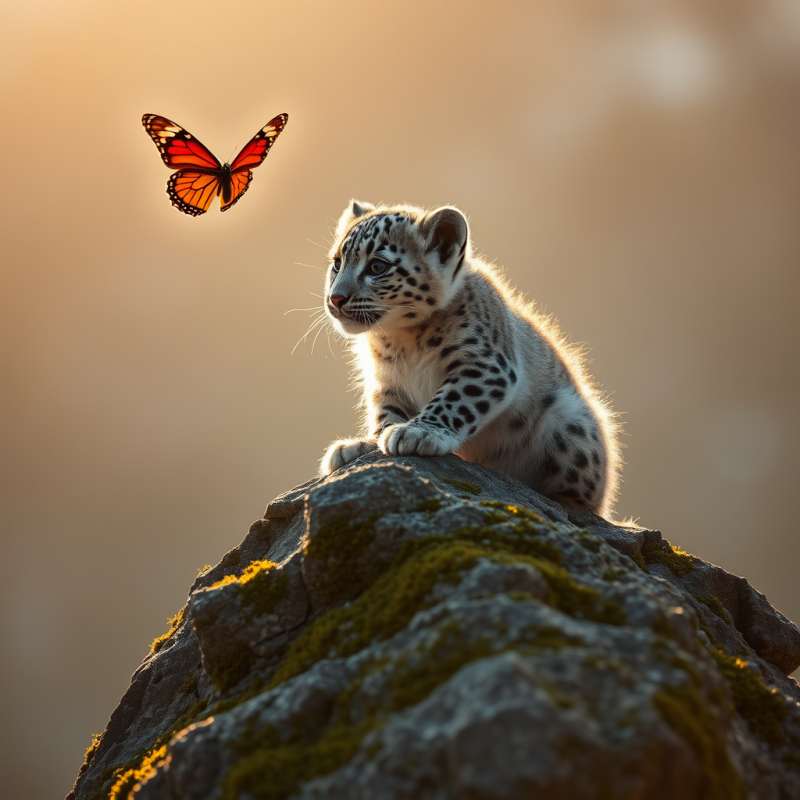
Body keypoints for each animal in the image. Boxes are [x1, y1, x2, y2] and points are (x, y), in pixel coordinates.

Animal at [319, 200, 621, 517]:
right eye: (337, 263)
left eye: (378, 266)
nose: (335, 298)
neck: (399, 340)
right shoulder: (386, 382)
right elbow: (385, 410)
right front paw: (367, 443)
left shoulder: (485, 366)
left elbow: (454, 400)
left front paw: (418, 432)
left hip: (569, 423)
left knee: (584, 502)